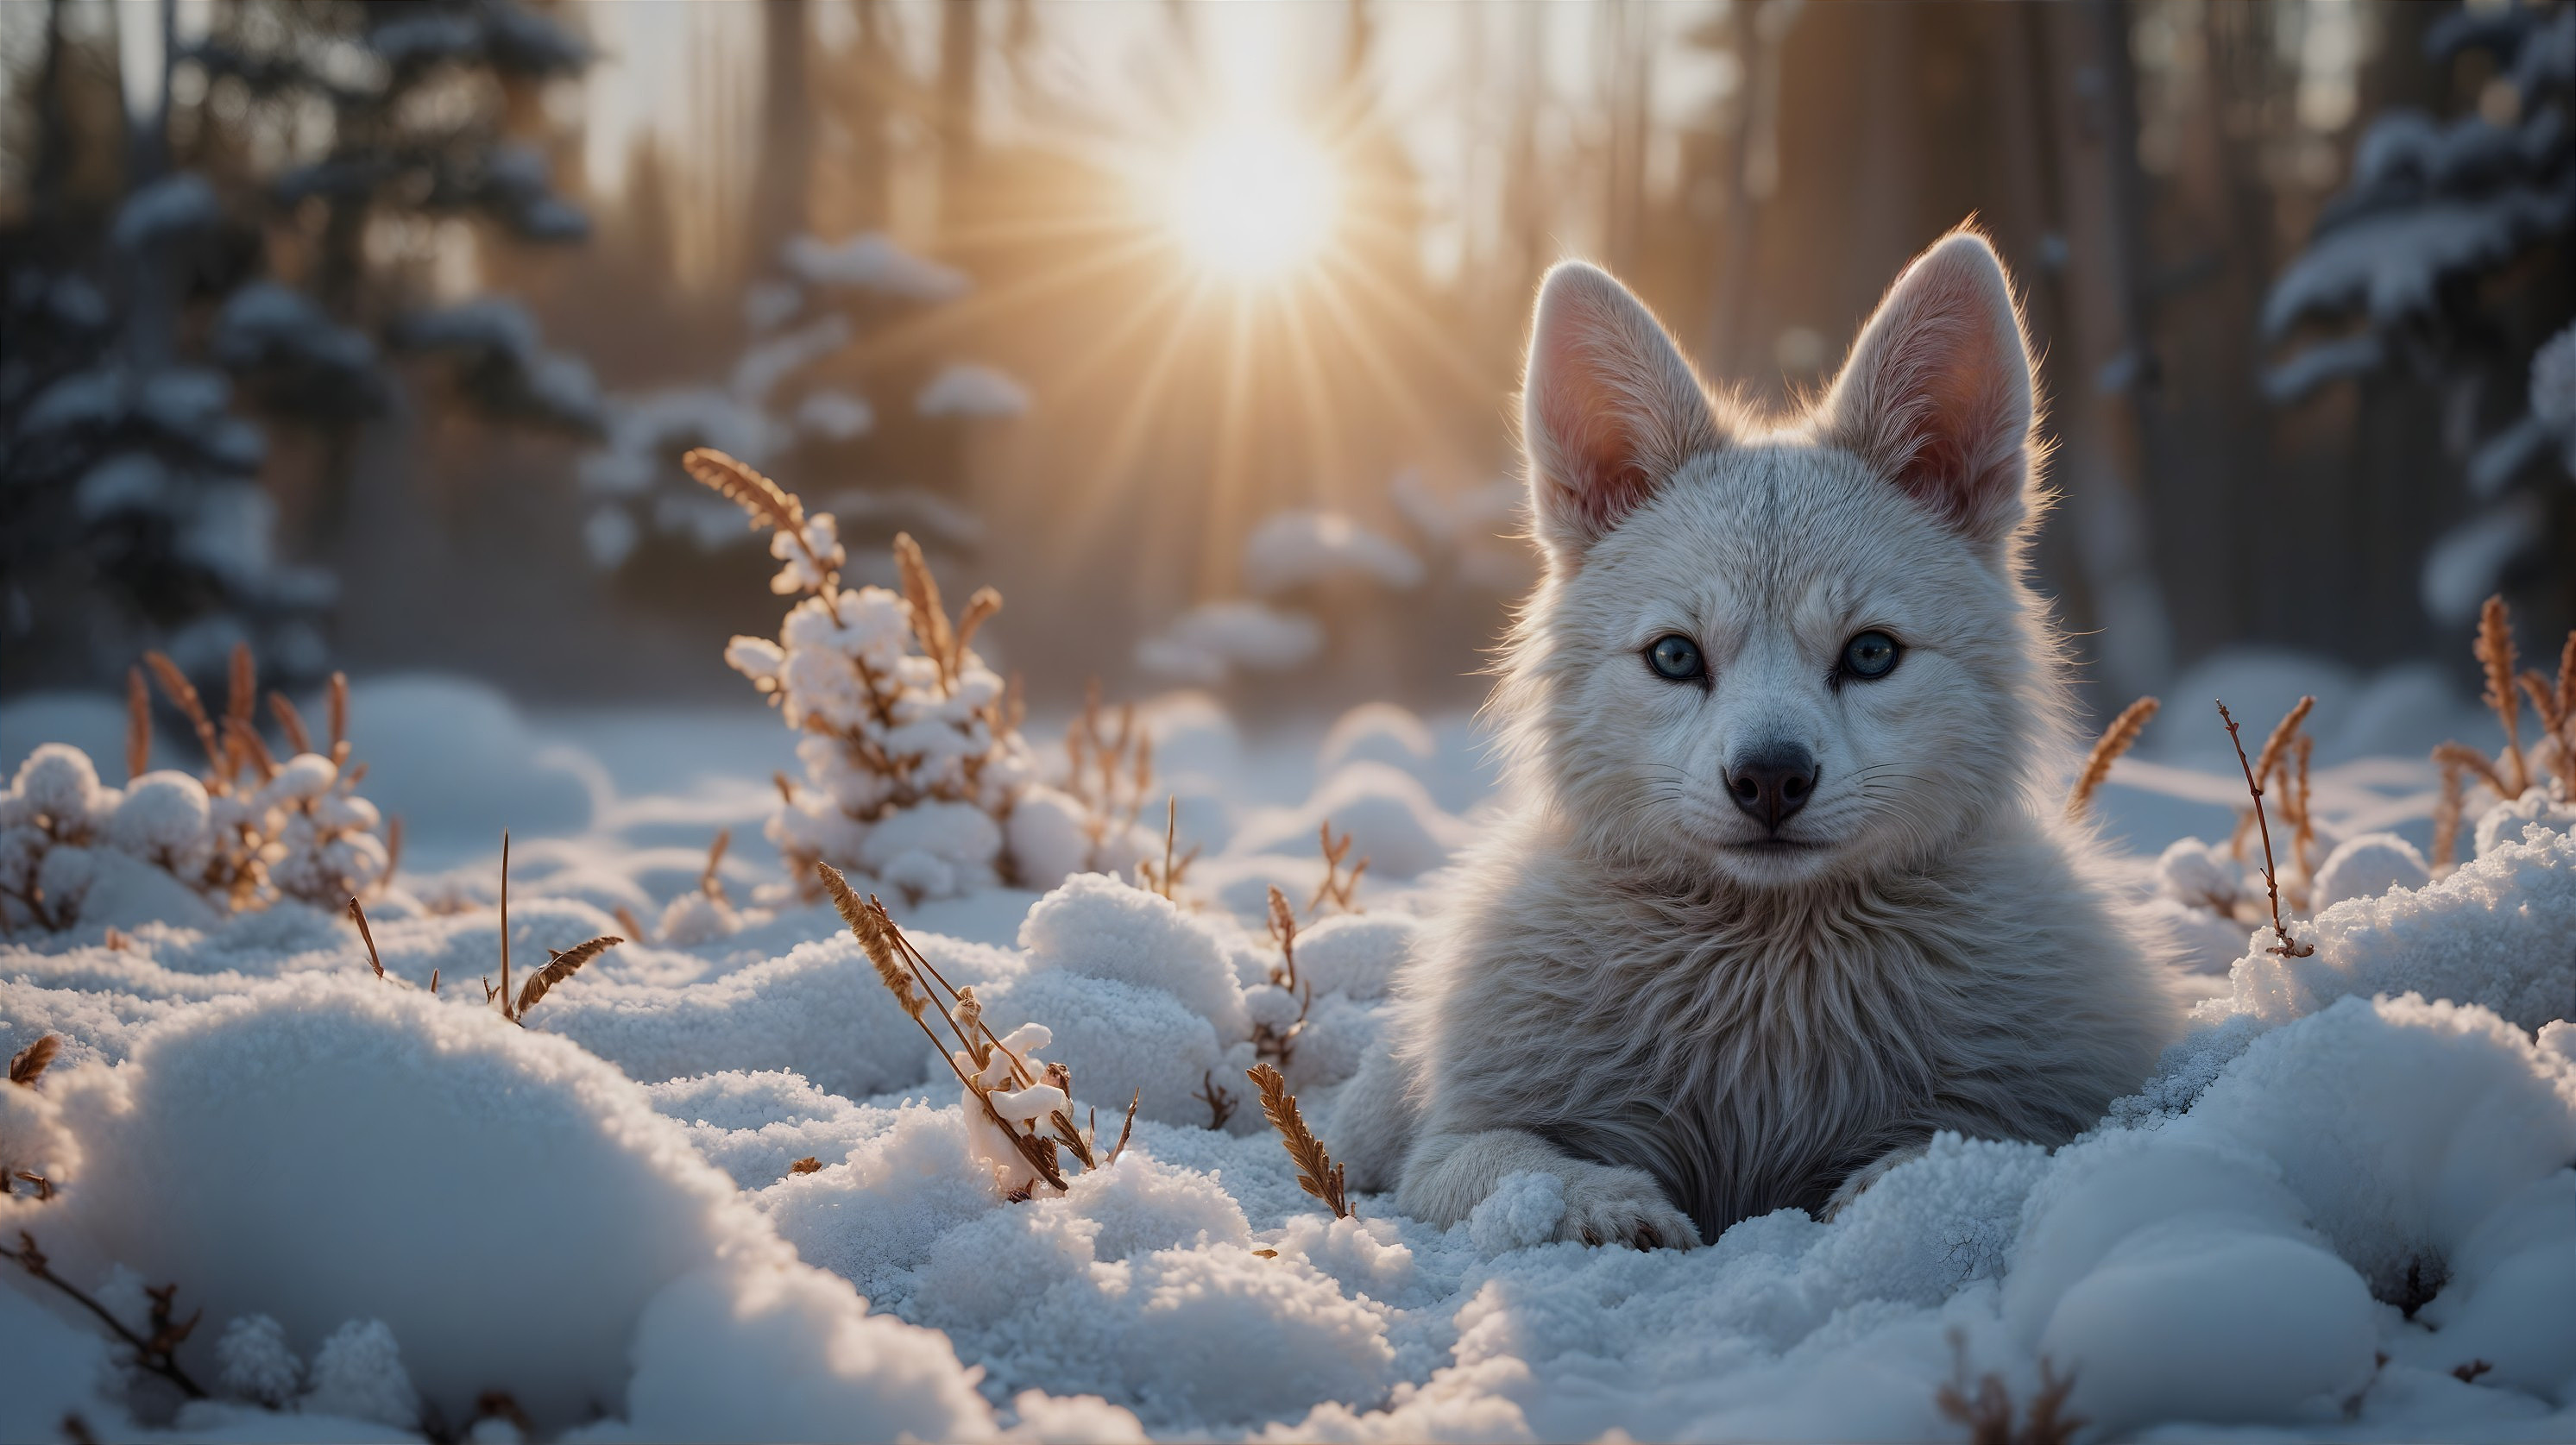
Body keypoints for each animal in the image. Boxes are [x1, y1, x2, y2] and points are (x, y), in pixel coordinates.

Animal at [1332, 229, 2185, 1249]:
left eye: (1870, 652)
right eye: (1673, 655)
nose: (1770, 778)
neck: (1774, 981)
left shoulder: (2063, 1105)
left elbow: (1979, 1140)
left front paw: (1896, 1194)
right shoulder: (1456, 1144)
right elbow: (1516, 1167)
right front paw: (1602, 1203)